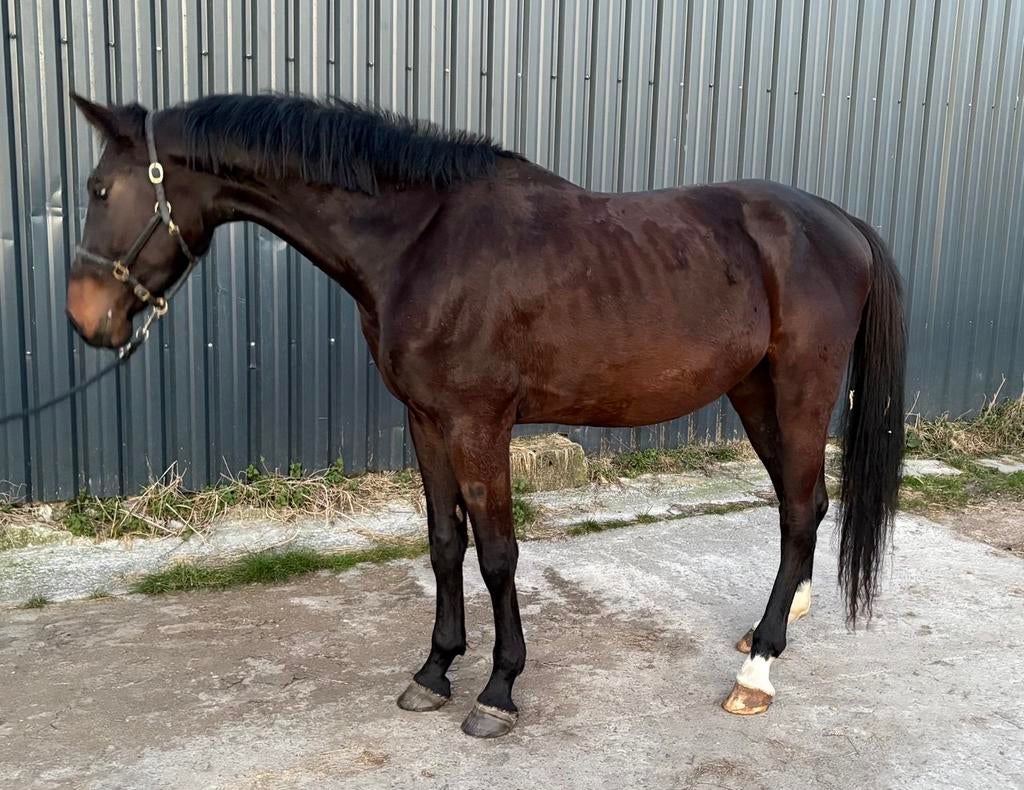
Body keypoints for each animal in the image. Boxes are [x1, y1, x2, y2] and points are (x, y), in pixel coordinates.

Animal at [66, 92, 905, 738]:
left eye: (101, 189)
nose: (84, 317)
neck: (421, 241)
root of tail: (841, 221)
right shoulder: (426, 421)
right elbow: (445, 545)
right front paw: (435, 670)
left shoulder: (480, 423)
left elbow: (498, 554)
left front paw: (498, 691)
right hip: (754, 392)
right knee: (804, 505)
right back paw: (774, 628)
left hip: (799, 390)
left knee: (798, 508)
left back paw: (758, 671)